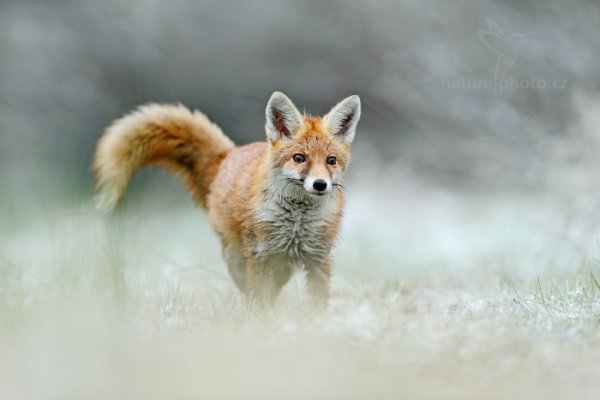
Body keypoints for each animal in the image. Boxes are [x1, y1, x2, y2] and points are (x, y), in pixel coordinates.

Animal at [91, 92, 358, 306]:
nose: (320, 184)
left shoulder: (319, 258)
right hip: (239, 259)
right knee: (251, 292)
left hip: (283, 267)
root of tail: (227, 156)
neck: (297, 222)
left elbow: (317, 303)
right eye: (299, 158)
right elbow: (259, 301)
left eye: (331, 161)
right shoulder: (259, 256)